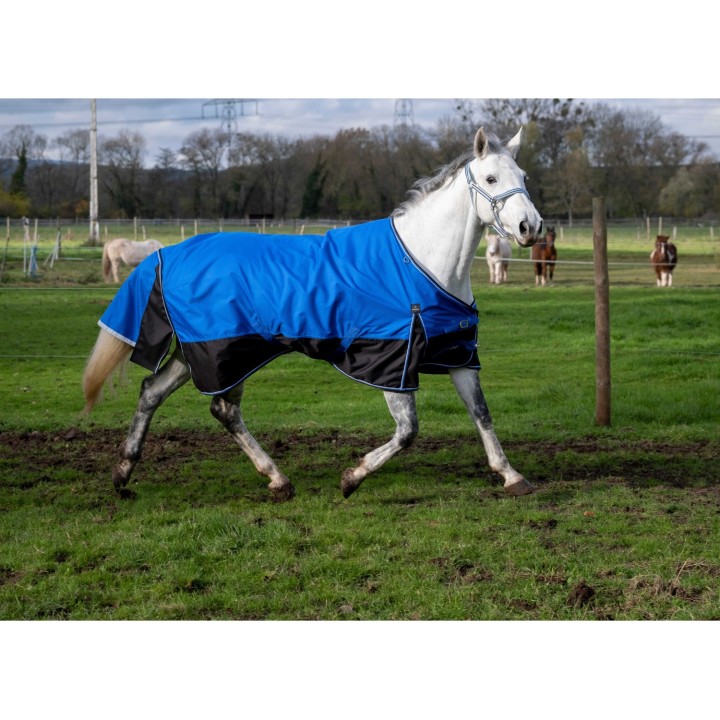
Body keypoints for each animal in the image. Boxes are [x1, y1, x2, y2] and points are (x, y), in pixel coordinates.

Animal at [82, 127, 543, 502]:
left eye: (522, 178)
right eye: (491, 179)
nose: (530, 228)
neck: (420, 261)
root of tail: (168, 253)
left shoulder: (458, 353)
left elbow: (481, 414)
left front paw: (511, 476)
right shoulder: (392, 363)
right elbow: (408, 431)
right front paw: (351, 478)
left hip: (200, 351)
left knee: (153, 392)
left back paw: (124, 473)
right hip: (228, 352)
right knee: (222, 410)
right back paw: (277, 479)